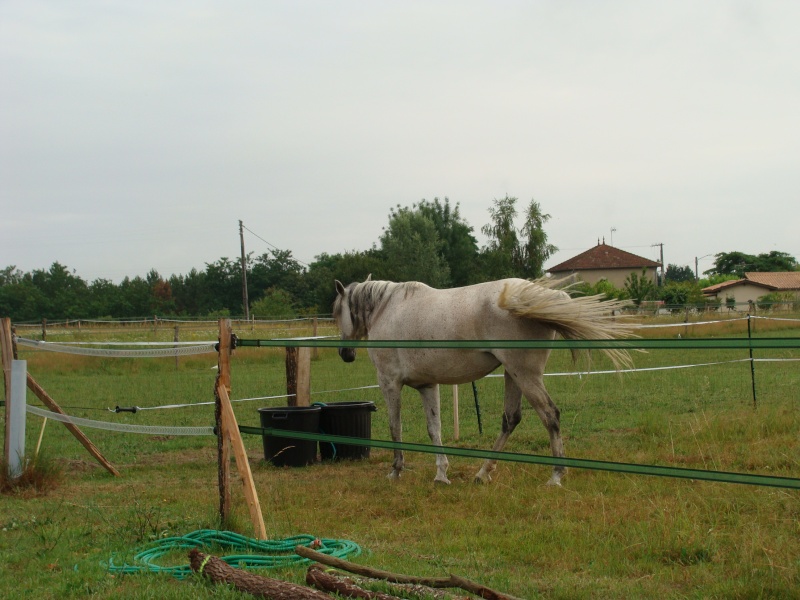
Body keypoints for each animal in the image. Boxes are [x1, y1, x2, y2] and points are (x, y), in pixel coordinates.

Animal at [334, 278, 636, 486]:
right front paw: (441, 475)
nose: (345, 354)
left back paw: (555, 476)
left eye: (338, 312)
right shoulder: (427, 386)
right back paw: (483, 473)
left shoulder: (389, 383)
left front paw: (395, 471)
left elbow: (395, 428)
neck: (386, 308)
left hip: (524, 375)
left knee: (550, 415)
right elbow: (434, 430)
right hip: (513, 375)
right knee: (511, 419)